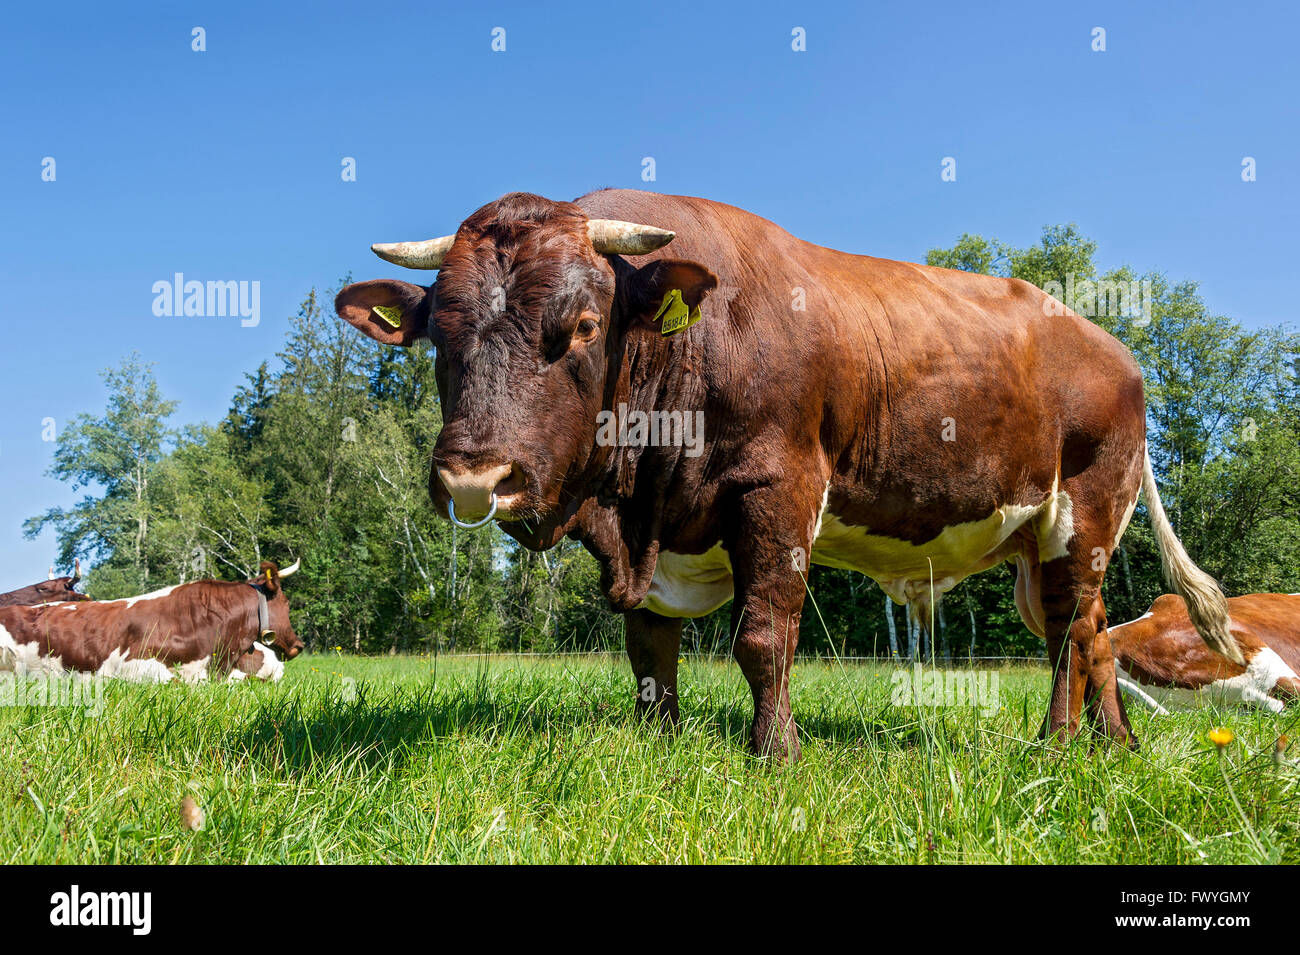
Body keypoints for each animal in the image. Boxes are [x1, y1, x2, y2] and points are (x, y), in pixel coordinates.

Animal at [332, 188, 1227, 764]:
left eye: (583, 325)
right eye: (437, 333)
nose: (477, 475)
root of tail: (1114, 347)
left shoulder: (778, 489)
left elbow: (763, 635)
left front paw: (777, 752)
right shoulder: (650, 530)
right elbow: (649, 649)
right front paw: (659, 743)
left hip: (1084, 508)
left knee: (1071, 630)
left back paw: (1059, 742)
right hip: (1046, 541)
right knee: (1093, 630)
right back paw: (1115, 743)